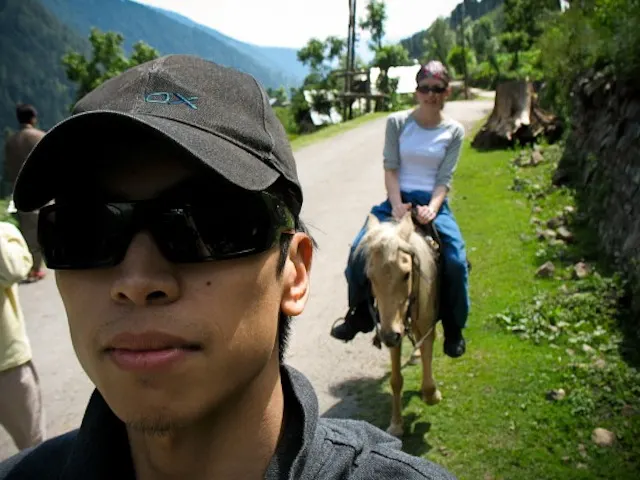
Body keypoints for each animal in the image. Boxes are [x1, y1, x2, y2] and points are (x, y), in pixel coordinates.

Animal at [358, 212, 442, 436]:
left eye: (406, 274)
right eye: (370, 276)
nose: (388, 336)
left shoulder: (426, 325)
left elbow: (428, 383)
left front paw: (432, 396)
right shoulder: (392, 331)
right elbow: (395, 381)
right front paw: (396, 425)